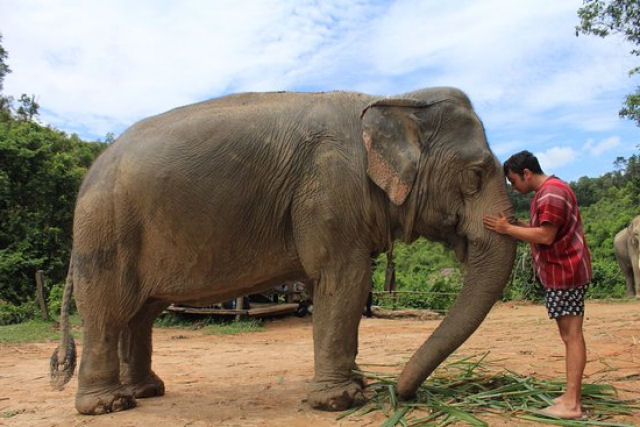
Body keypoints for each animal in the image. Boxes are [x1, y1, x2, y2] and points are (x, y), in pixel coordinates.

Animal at [52, 86, 516, 414]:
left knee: (141, 313)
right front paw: (342, 401)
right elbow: (342, 280)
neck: (393, 100)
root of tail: (91, 170)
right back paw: (109, 405)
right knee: (108, 312)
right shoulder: (330, 188)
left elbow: (326, 289)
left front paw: (356, 386)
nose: (401, 394)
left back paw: (147, 391)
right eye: (475, 175)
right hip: (107, 229)